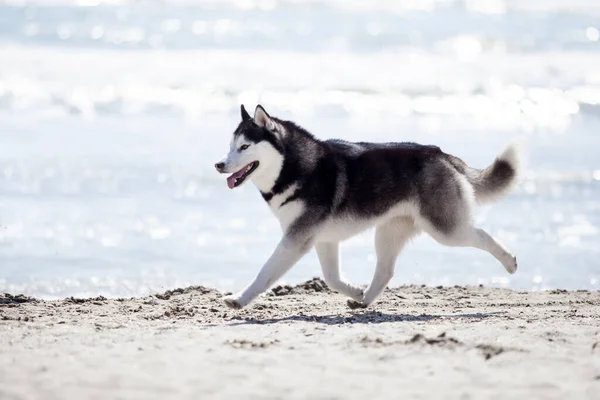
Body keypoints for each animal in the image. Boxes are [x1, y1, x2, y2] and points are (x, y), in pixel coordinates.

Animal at [216, 104, 520, 310]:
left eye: (244, 147)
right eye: (230, 146)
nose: (218, 164)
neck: (294, 167)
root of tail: (441, 153)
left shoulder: (296, 239)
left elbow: (265, 272)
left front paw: (239, 299)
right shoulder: (322, 239)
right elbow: (331, 278)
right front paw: (355, 291)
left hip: (446, 230)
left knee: (481, 235)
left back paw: (509, 261)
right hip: (388, 232)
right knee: (385, 271)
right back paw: (364, 301)